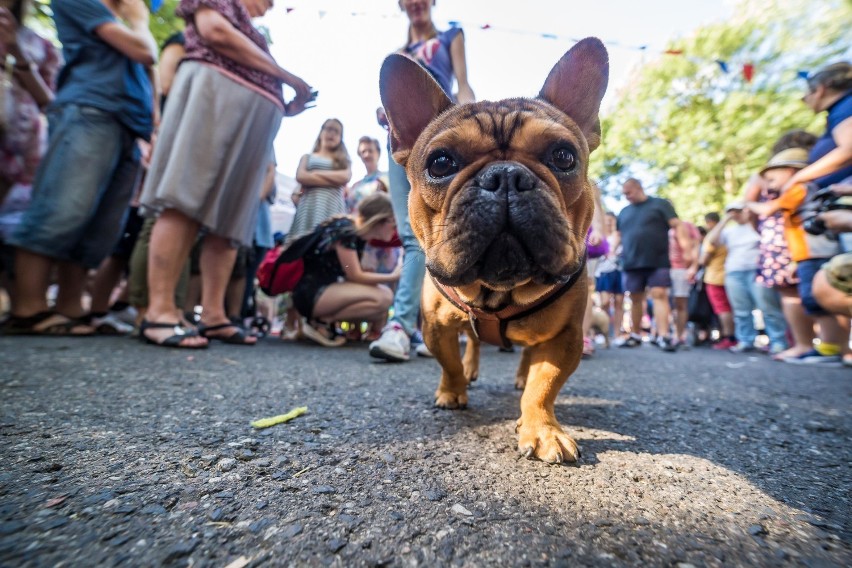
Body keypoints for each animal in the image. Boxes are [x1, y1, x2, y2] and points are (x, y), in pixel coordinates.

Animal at [382, 37, 608, 464]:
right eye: (440, 162)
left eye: (564, 156)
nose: (505, 176)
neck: (499, 290)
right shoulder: (435, 326)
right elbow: (450, 362)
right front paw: (452, 392)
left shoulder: (566, 336)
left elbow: (544, 385)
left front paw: (543, 429)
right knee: (473, 344)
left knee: (525, 356)